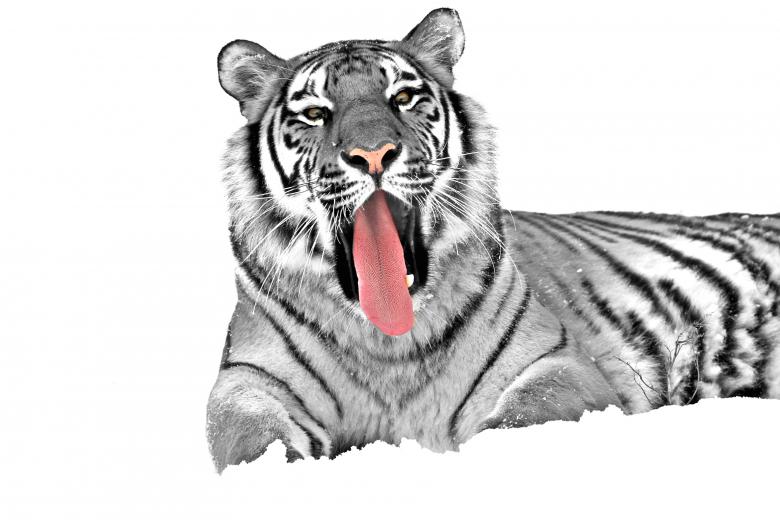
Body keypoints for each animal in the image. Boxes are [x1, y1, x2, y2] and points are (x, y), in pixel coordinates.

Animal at [206, 8, 780, 472]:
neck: (388, 344)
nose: (373, 154)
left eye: (404, 98)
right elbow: (245, 435)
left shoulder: (556, 363)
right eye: (314, 113)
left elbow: (528, 415)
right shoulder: (248, 378)